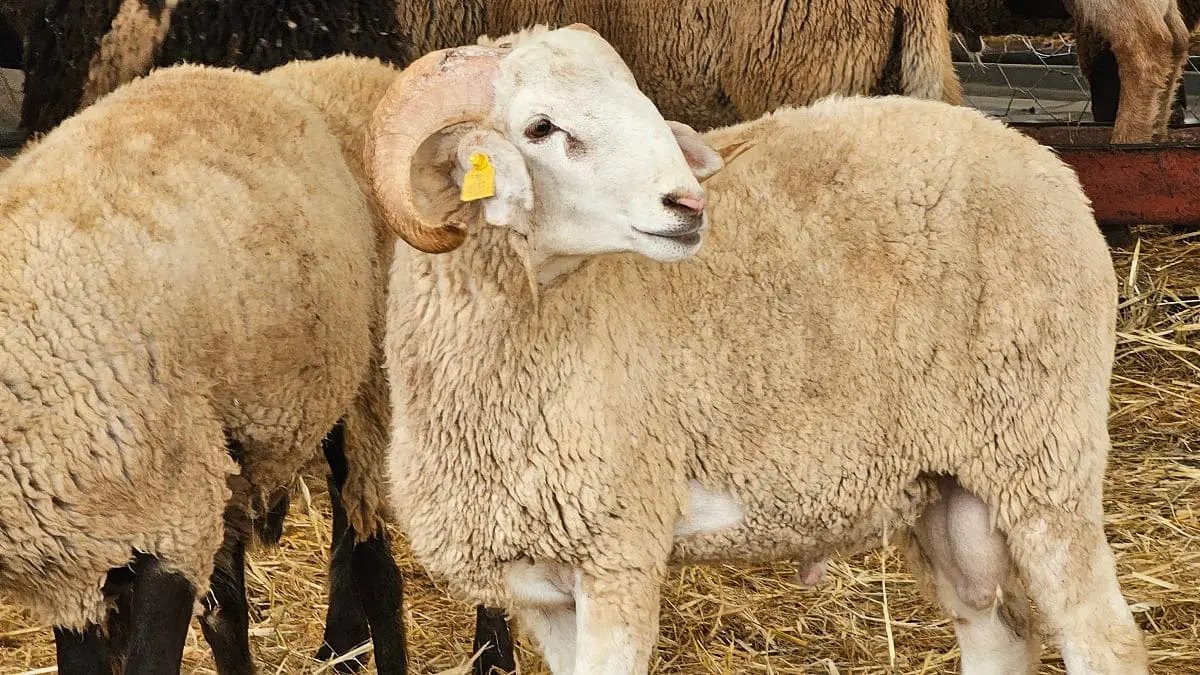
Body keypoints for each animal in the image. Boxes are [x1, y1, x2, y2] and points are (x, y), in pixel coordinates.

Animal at [363, 25, 1148, 674]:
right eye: (540, 127)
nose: (687, 203)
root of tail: (1048, 163)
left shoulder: (620, 549)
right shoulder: (541, 587)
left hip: (1043, 449)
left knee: (1105, 638)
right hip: (949, 482)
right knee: (995, 629)